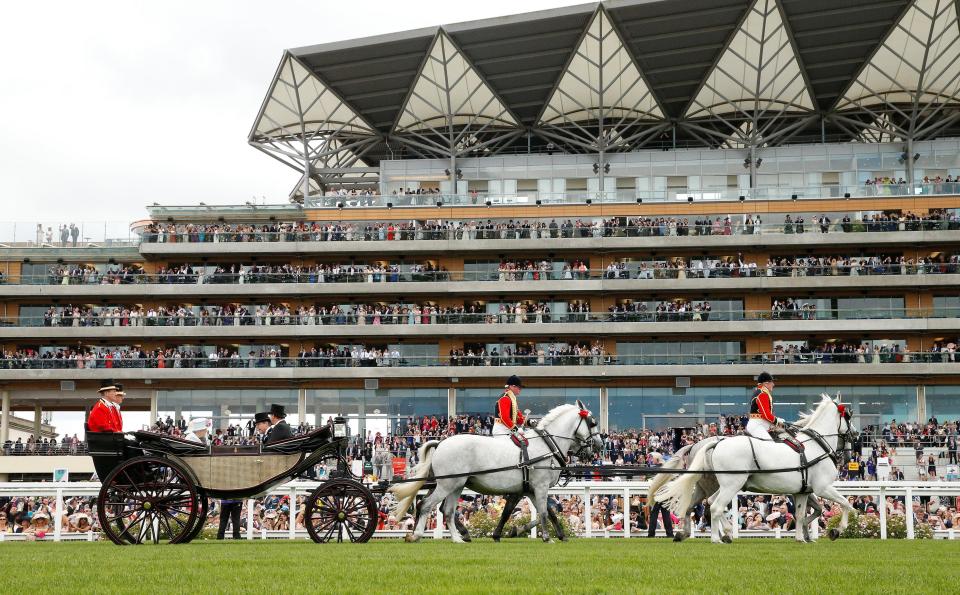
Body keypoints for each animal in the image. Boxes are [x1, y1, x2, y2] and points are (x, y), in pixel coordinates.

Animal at [388, 402, 600, 544]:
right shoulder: (539, 487)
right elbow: (542, 512)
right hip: (447, 485)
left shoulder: (529, 490)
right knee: (426, 504)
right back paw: (416, 535)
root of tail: (441, 442)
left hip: (456, 485)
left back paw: (457, 538)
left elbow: (547, 512)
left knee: (446, 510)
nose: (597, 446)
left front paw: (559, 535)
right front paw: (548, 538)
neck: (546, 446)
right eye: (592, 422)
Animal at [660, 396, 856, 544]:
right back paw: (718, 537)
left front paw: (801, 537)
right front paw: (837, 530)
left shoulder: (802, 492)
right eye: (848, 416)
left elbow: (802, 514)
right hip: (731, 485)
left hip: (722, 486)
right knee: (715, 507)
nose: (855, 436)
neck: (816, 446)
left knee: (706, 503)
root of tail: (715, 443)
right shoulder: (823, 488)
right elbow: (846, 504)